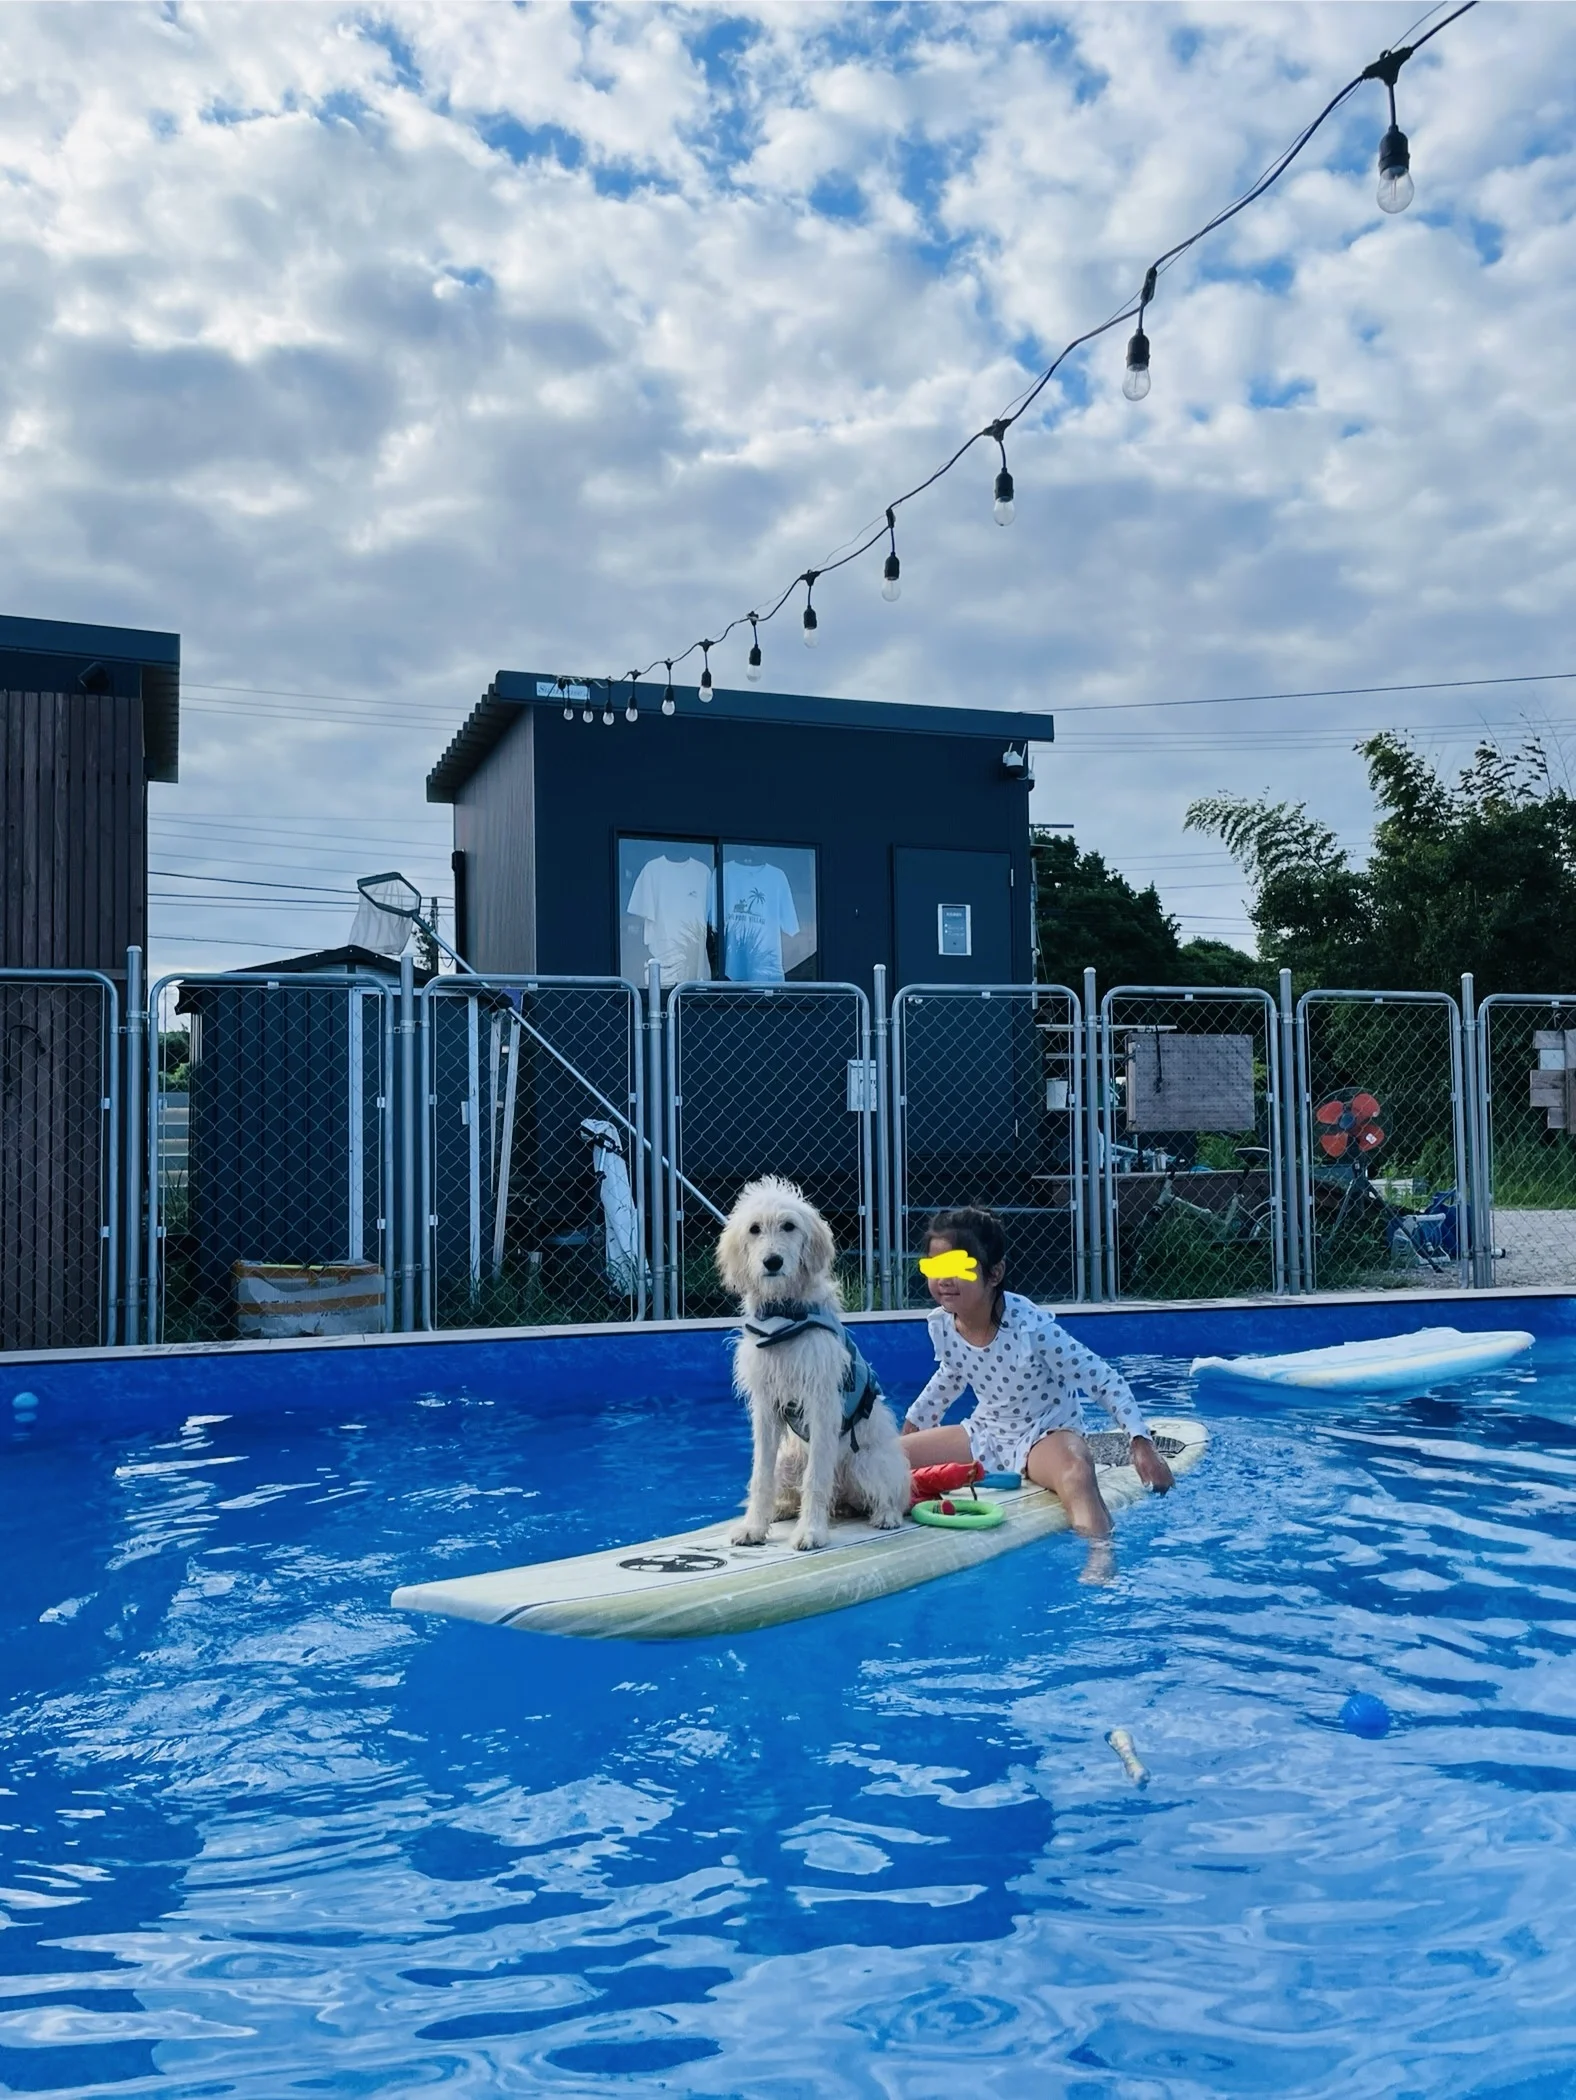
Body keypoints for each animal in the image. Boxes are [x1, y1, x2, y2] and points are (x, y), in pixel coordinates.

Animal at [718, 1176, 911, 1553]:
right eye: (754, 1229)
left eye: (789, 1226)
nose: (773, 1261)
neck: (783, 1315)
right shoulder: (767, 1406)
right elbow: (760, 1474)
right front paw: (753, 1526)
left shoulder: (821, 1403)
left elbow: (816, 1478)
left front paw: (811, 1532)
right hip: (787, 1460)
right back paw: (779, 1510)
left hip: (867, 1462)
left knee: (888, 1494)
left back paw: (886, 1515)